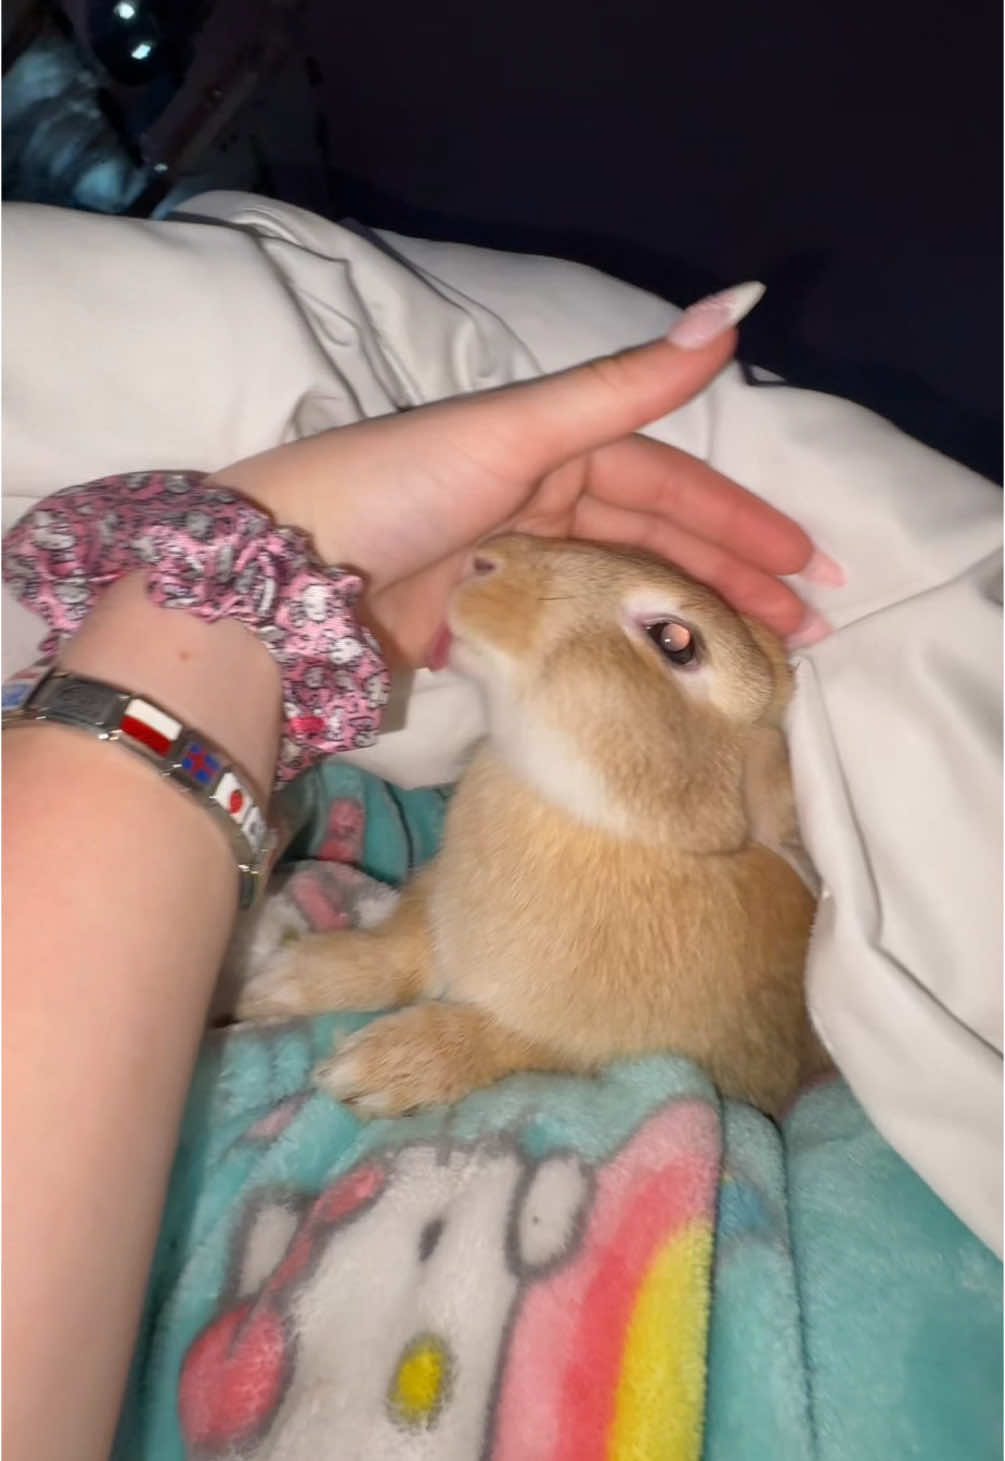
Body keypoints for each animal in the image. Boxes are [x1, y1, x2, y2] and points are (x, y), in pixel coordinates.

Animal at [235, 534, 828, 1118]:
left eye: (675, 640)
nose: (484, 559)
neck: (608, 823)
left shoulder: (596, 1050)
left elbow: (511, 1044)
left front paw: (378, 1069)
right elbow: (394, 956)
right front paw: (283, 982)